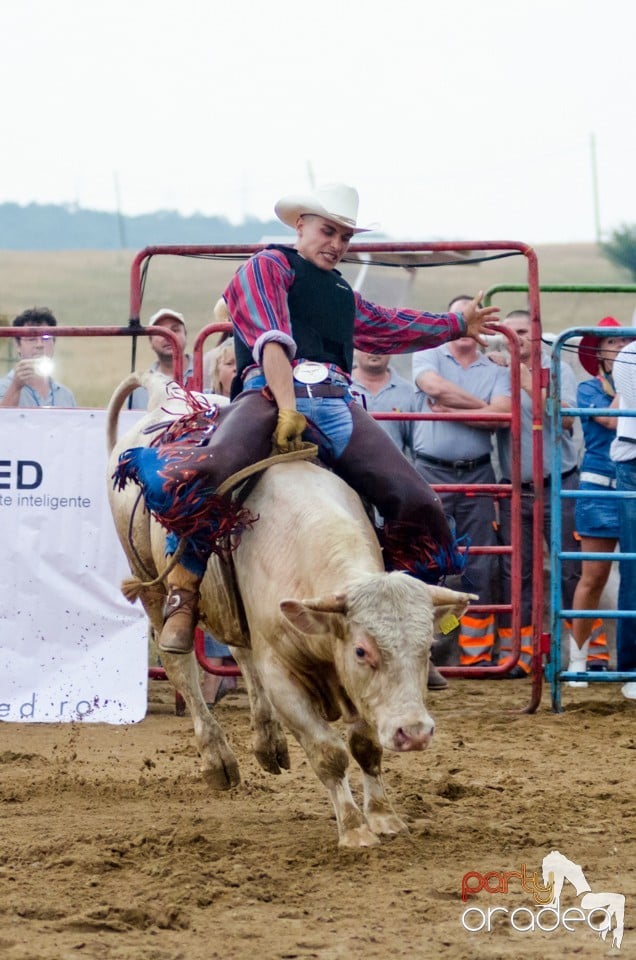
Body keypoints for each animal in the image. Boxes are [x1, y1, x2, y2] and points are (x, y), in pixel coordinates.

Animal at [107, 376, 474, 848]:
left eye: (427, 648)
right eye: (362, 650)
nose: (414, 733)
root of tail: (162, 399)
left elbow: (365, 746)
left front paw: (384, 816)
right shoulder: (284, 676)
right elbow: (328, 752)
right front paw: (354, 829)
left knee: (241, 654)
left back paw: (268, 742)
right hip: (150, 585)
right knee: (182, 665)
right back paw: (217, 759)